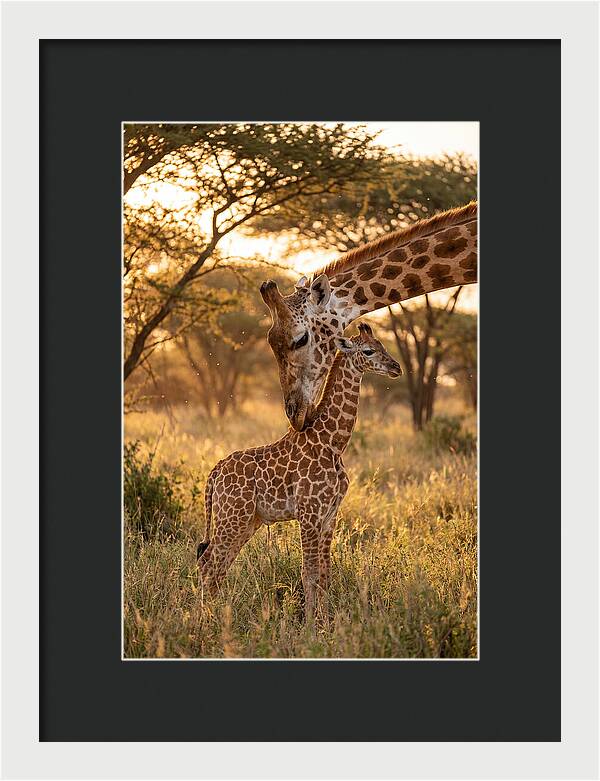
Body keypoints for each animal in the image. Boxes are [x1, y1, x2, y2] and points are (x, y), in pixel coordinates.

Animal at [197, 323, 402, 622]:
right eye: (368, 351)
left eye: (382, 346)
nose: (396, 367)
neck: (333, 442)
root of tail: (215, 473)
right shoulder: (309, 512)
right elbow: (309, 573)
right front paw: (310, 625)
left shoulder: (329, 515)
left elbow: (325, 574)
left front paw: (326, 622)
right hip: (232, 516)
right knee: (208, 563)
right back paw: (203, 621)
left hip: (247, 520)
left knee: (217, 564)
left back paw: (215, 616)